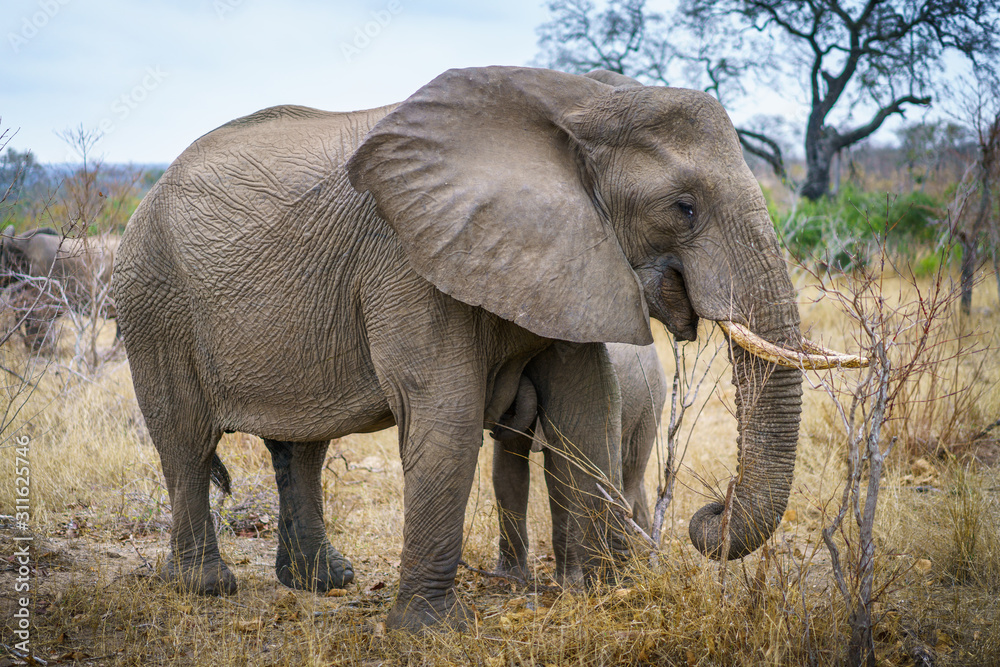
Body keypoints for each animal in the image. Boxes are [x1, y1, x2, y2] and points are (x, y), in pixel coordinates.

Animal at [491, 342, 667, 584]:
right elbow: (507, 470)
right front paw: (509, 579)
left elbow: (560, 478)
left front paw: (568, 584)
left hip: (649, 404)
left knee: (632, 469)